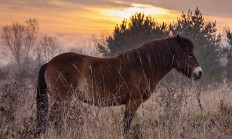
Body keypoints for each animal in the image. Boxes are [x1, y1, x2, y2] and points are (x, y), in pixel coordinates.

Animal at [35, 35, 201, 135]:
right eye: (189, 54)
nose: (199, 73)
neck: (142, 66)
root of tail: (49, 63)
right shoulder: (133, 102)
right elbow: (126, 125)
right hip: (62, 99)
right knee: (53, 120)